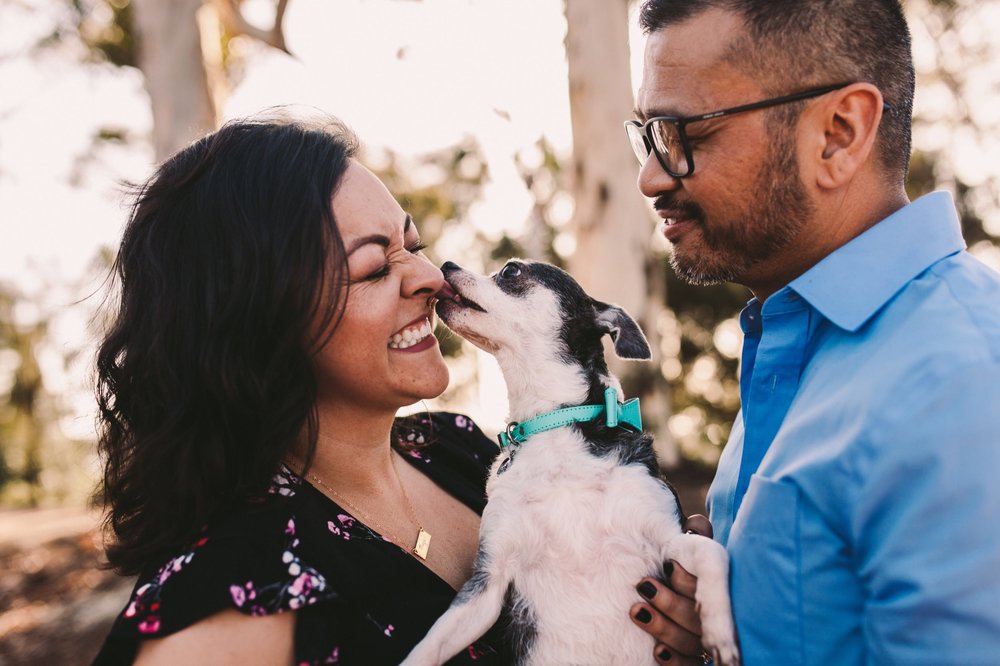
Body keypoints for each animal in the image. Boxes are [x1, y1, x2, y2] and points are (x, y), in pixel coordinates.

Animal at [400, 258, 744, 664]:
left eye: (511, 271)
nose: (447, 263)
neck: (555, 423)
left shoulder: (669, 540)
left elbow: (712, 554)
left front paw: (721, 630)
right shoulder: (487, 585)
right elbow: (428, 647)